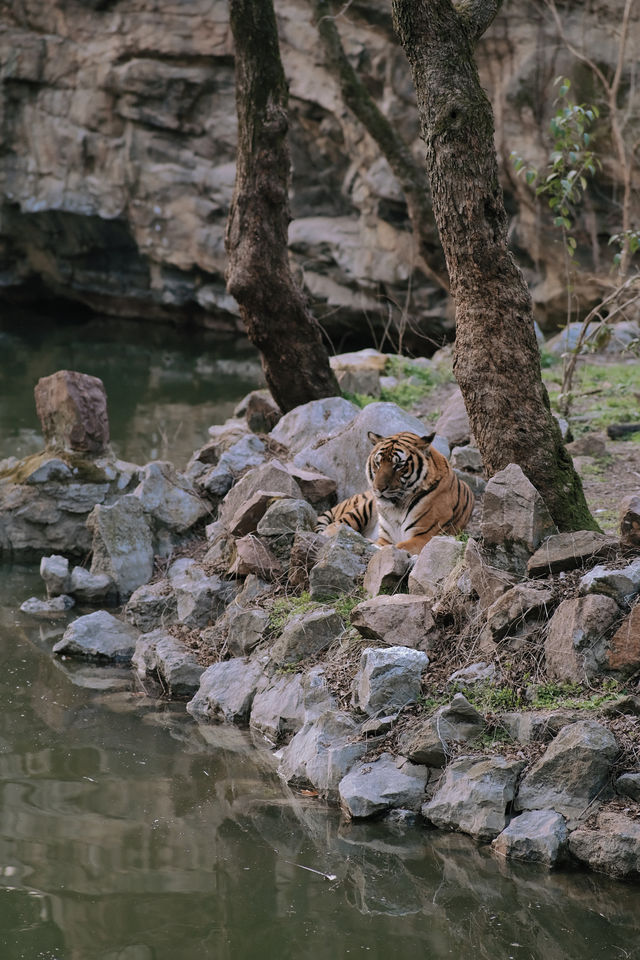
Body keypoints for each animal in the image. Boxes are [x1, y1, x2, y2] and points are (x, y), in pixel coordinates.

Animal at [316, 430, 476, 556]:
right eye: (378, 463)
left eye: (398, 465)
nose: (378, 488)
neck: (397, 508)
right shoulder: (385, 538)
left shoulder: (426, 536)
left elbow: (399, 546)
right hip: (364, 508)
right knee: (337, 524)